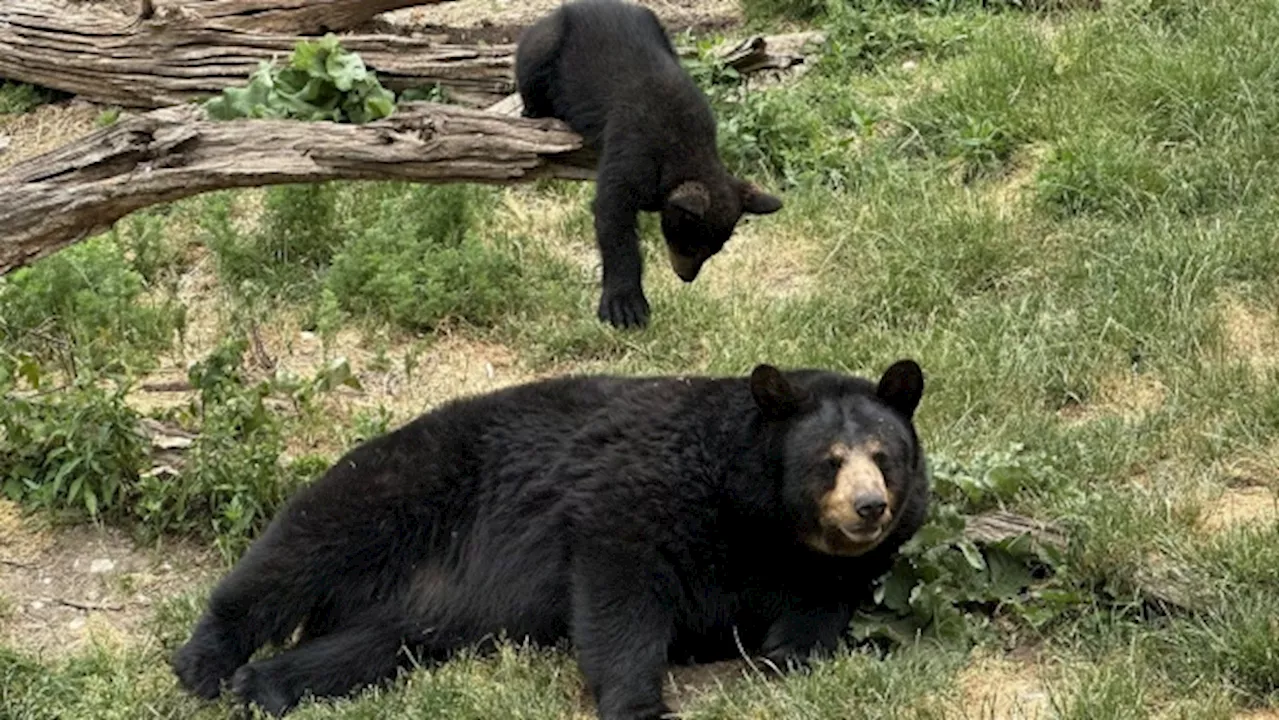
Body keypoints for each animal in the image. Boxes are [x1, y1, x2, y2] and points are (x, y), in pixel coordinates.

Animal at [172, 358, 931, 717]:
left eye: (884, 455)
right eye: (829, 459)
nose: (869, 507)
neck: (761, 515)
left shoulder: (825, 569)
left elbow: (815, 613)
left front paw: (784, 656)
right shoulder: (647, 487)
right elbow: (620, 583)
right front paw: (638, 703)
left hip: (418, 613)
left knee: (370, 646)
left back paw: (268, 684)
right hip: (404, 486)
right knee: (298, 551)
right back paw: (206, 662)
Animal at [514, 0, 783, 327]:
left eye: (714, 249)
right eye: (689, 242)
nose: (686, 278)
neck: (685, 147)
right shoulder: (631, 154)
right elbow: (614, 223)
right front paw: (625, 306)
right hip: (542, 46)